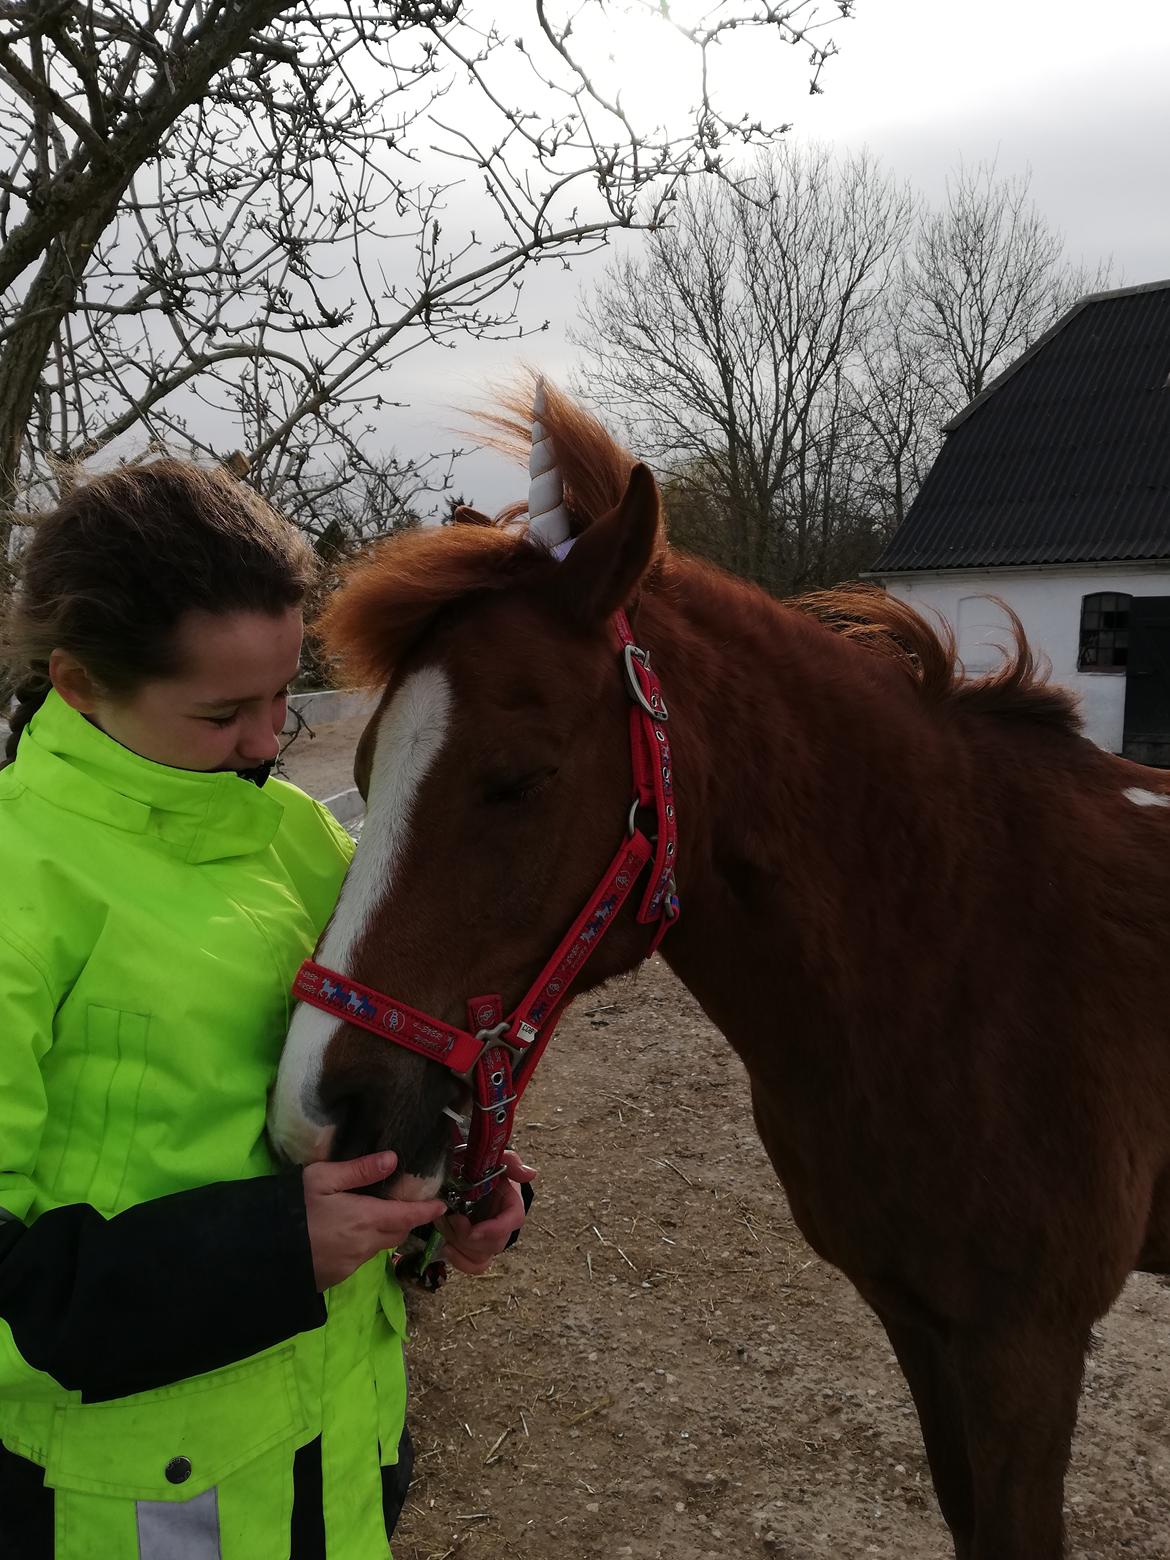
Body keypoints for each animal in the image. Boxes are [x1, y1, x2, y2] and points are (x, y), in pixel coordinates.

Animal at [269, 377, 1170, 1559]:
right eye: (366, 771)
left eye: (519, 778)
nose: (320, 1113)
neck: (969, 949)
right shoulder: (927, 1328)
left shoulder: (1025, 1346)